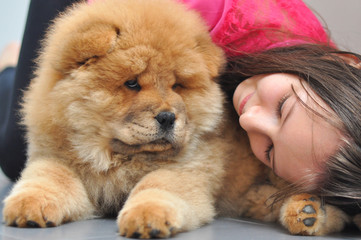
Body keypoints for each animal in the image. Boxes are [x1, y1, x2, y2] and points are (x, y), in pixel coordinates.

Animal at [1, 0, 348, 237]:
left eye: (177, 85)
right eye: (132, 83)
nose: (168, 117)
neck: (118, 157)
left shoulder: (187, 169)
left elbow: (156, 186)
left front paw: (147, 217)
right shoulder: (57, 155)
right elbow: (48, 177)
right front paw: (29, 205)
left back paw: (310, 211)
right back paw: (306, 211)